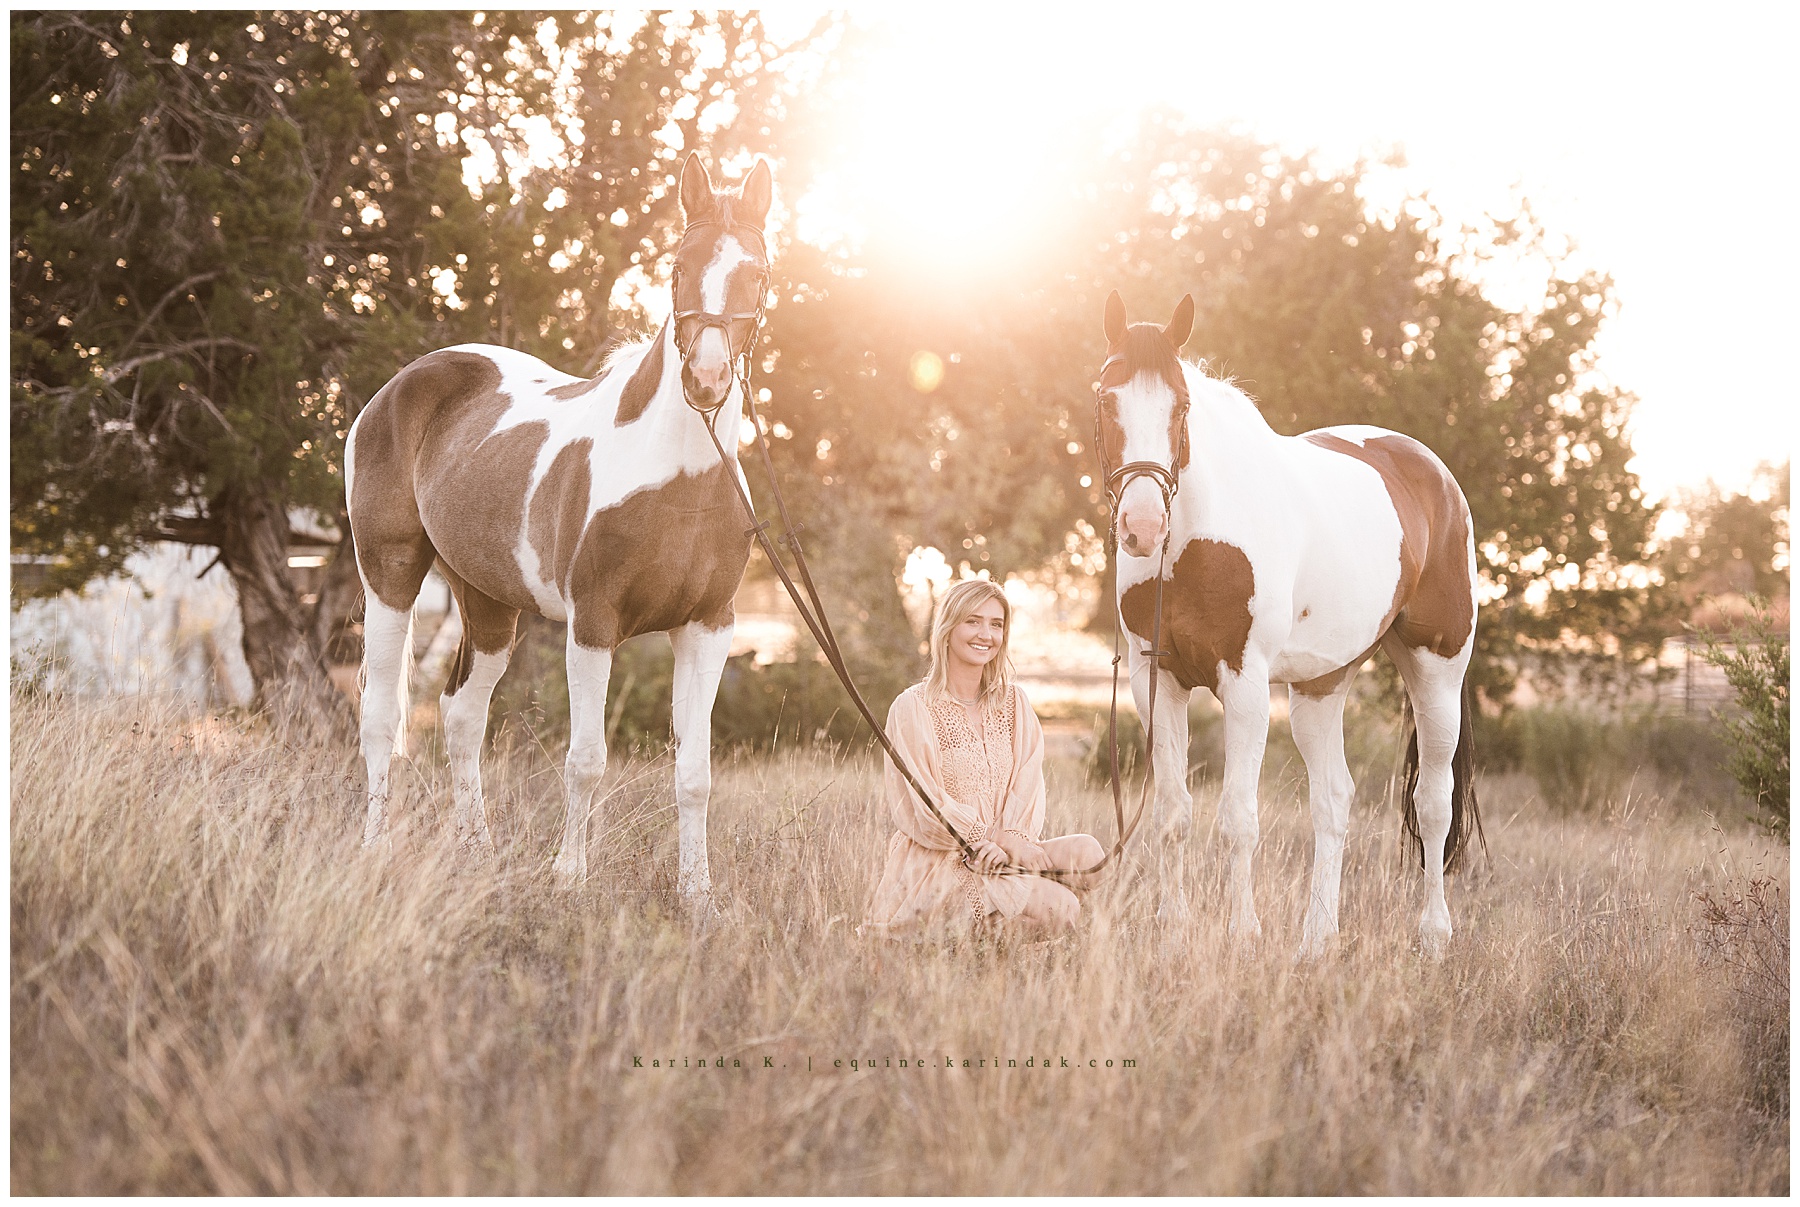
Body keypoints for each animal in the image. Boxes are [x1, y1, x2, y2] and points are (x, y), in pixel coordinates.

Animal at [345, 153, 771, 901]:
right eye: (678, 267)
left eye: (758, 272)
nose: (709, 377)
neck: (680, 475)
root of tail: (398, 387)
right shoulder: (592, 623)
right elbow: (586, 759)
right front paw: (569, 877)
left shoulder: (709, 626)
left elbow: (695, 773)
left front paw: (698, 893)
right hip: (389, 577)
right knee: (379, 718)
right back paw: (376, 849)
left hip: (488, 601)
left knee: (462, 715)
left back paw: (477, 849)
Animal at [1093, 290, 1482, 957]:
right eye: (1105, 398)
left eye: (1182, 407)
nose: (1142, 528)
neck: (1195, 540)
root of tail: (1434, 475)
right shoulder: (1157, 681)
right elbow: (1172, 813)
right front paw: (1173, 932)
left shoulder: (1245, 684)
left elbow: (1238, 819)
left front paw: (1243, 935)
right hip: (1320, 688)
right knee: (1334, 800)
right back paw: (1317, 939)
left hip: (1438, 671)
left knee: (1433, 802)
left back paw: (1433, 935)